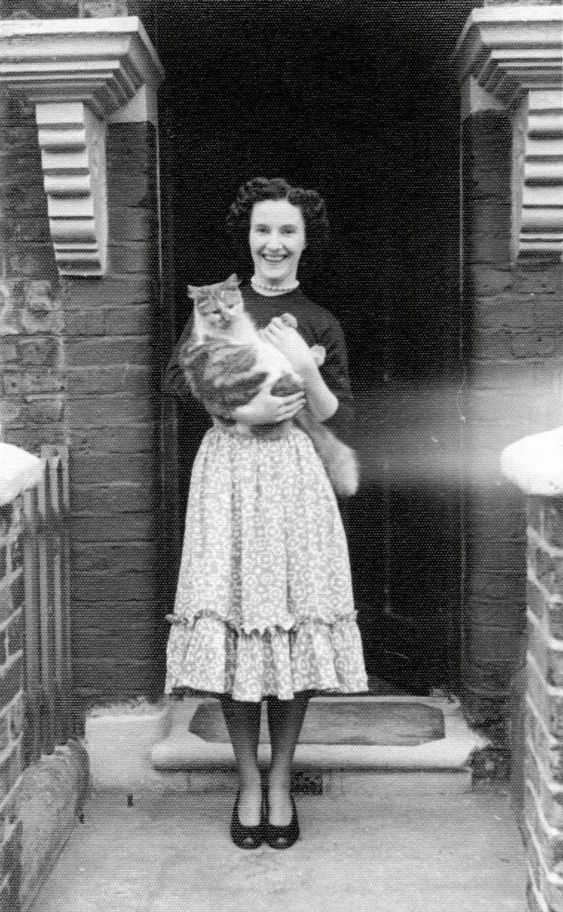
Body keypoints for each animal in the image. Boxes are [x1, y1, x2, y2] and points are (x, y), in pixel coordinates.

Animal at [178, 272, 360, 498]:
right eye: (215, 311)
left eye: (230, 306)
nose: (226, 317)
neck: (235, 329)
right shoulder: (252, 344)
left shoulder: (255, 336)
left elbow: (266, 331)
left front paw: (287, 320)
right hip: (266, 358)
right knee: (297, 367)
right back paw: (315, 354)